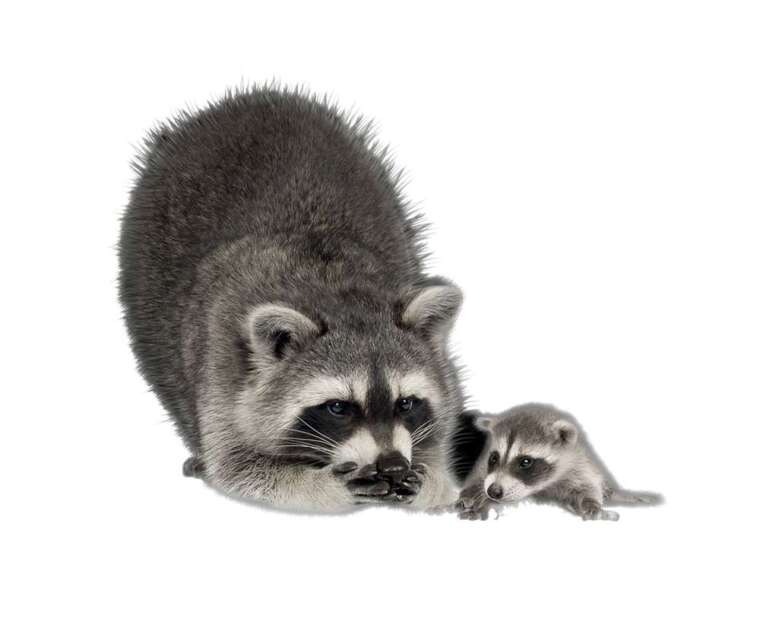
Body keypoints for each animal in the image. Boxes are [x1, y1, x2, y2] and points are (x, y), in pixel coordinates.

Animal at [119, 87, 464, 512]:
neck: (336, 292)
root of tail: (255, 96)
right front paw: (325, 484)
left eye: (406, 403)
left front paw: (428, 477)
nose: (393, 464)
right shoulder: (223, 363)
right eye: (338, 407)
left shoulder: (443, 376)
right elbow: (237, 466)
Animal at [454, 404, 662, 521]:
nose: (493, 492)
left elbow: (588, 485)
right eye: (494, 458)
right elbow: (480, 478)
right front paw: (475, 494)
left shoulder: (577, 465)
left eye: (525, 462)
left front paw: (591, 503)